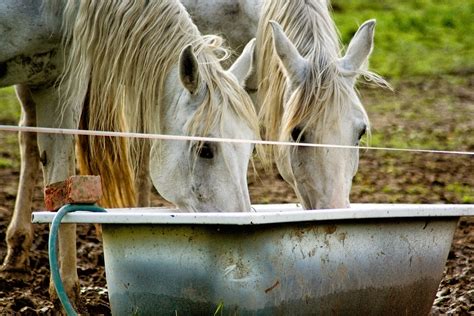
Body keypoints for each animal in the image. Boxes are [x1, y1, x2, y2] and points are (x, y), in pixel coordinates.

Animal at [0, 0, 260, 308]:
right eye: (205, 149)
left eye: (250, 148)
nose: (241, 225)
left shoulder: (56, 81)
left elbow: (61, 187)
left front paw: (65, 295)